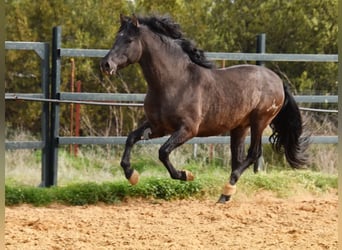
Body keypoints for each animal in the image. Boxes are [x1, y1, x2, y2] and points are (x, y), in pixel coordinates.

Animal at [99, 14, 310, 203]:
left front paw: (186, 175)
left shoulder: (188, 130)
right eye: (116, 38)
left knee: (253, 154)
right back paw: (226, 194)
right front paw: (131, 175)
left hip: (259, 121)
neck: (173, 82)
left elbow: (163, 152)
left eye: (129, 40)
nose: (106, 64)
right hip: (239, 127)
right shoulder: (158, 127)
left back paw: (225, 192)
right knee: (238, 158)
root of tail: (277, 80)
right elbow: (131, 139)